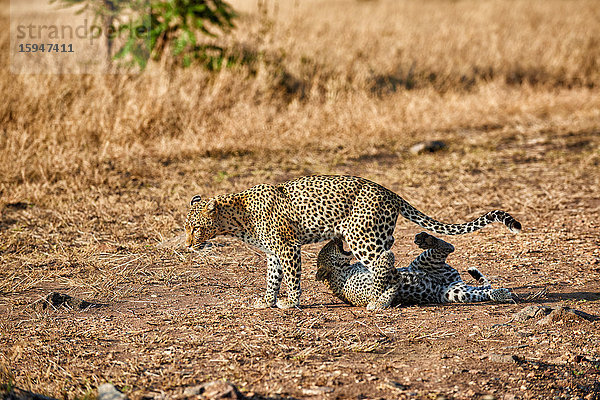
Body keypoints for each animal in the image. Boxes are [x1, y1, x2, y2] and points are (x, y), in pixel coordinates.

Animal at [316, 231, 512, 306]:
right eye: (329, 247)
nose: (335, 238)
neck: (343, 271)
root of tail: (451, 282)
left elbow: (380, 270)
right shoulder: (369, 293)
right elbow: (380, 280)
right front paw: (387, 257)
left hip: (424, 263)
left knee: (448, 246)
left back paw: (426, 239)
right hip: (453, 293)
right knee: (482, 292)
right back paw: (502, 294)